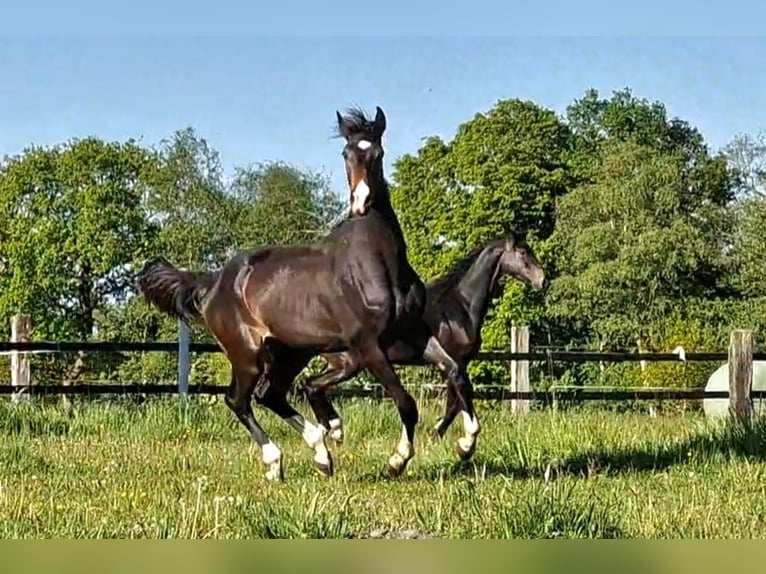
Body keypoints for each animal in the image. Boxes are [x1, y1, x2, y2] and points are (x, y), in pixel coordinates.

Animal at [136, 107, 476, 482]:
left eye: (378, 152)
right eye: (346, 153)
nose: (360, 203)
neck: (379, 263)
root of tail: (213, 282)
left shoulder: (414, 335)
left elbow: (457, 374)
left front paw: (466, 444)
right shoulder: (369, 346)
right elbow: (407, 403)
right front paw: (397, 461)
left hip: (290, 352)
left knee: (269, 395)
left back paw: (321, 454)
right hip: (247, 355)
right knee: (239, 400)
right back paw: (277, 460)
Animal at [304, 232, 548, 462]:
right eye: (523, 252)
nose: (542, 281)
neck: (460, 306)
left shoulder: (459, 362)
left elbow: (454, 402)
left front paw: (439, 434)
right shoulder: (455, 360)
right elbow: (457, 399)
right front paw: (457, 443)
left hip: (342, 365)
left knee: (313, 386)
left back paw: (331, 431)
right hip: (351, 364)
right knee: (314, 386)